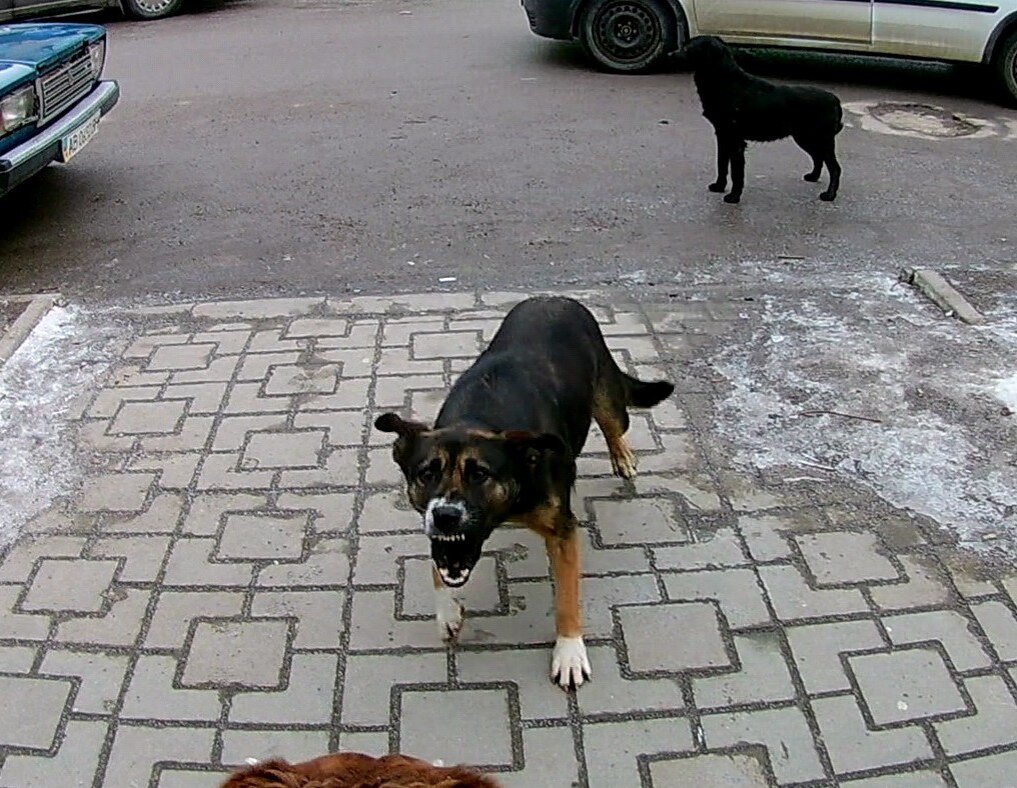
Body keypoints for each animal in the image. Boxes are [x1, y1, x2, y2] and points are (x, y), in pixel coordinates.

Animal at [374, 296, 675, 691]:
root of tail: (554, 298)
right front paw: (447, 611)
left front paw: (569, 651)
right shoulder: (440, 537)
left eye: (480, 474)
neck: (479, 418)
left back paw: (622, 455)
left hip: (606, 396)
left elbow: (566, 597)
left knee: (615, 424)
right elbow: (438, 568)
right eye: (427, 474)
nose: (446, 515)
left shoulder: (562, 530)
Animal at [687, 36, 846, 203]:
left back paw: (829, 195)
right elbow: (721, 164)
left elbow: (736, 172)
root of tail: (835, 100)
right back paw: (813, 177)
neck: (725, 81)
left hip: (820, 140)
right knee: (818, 158)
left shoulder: (735, 141)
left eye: (688, 47)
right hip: (806, 138)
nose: (677, 51)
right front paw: (719, 186)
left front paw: (734, 196)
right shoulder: (723, 135)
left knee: (835, 168)